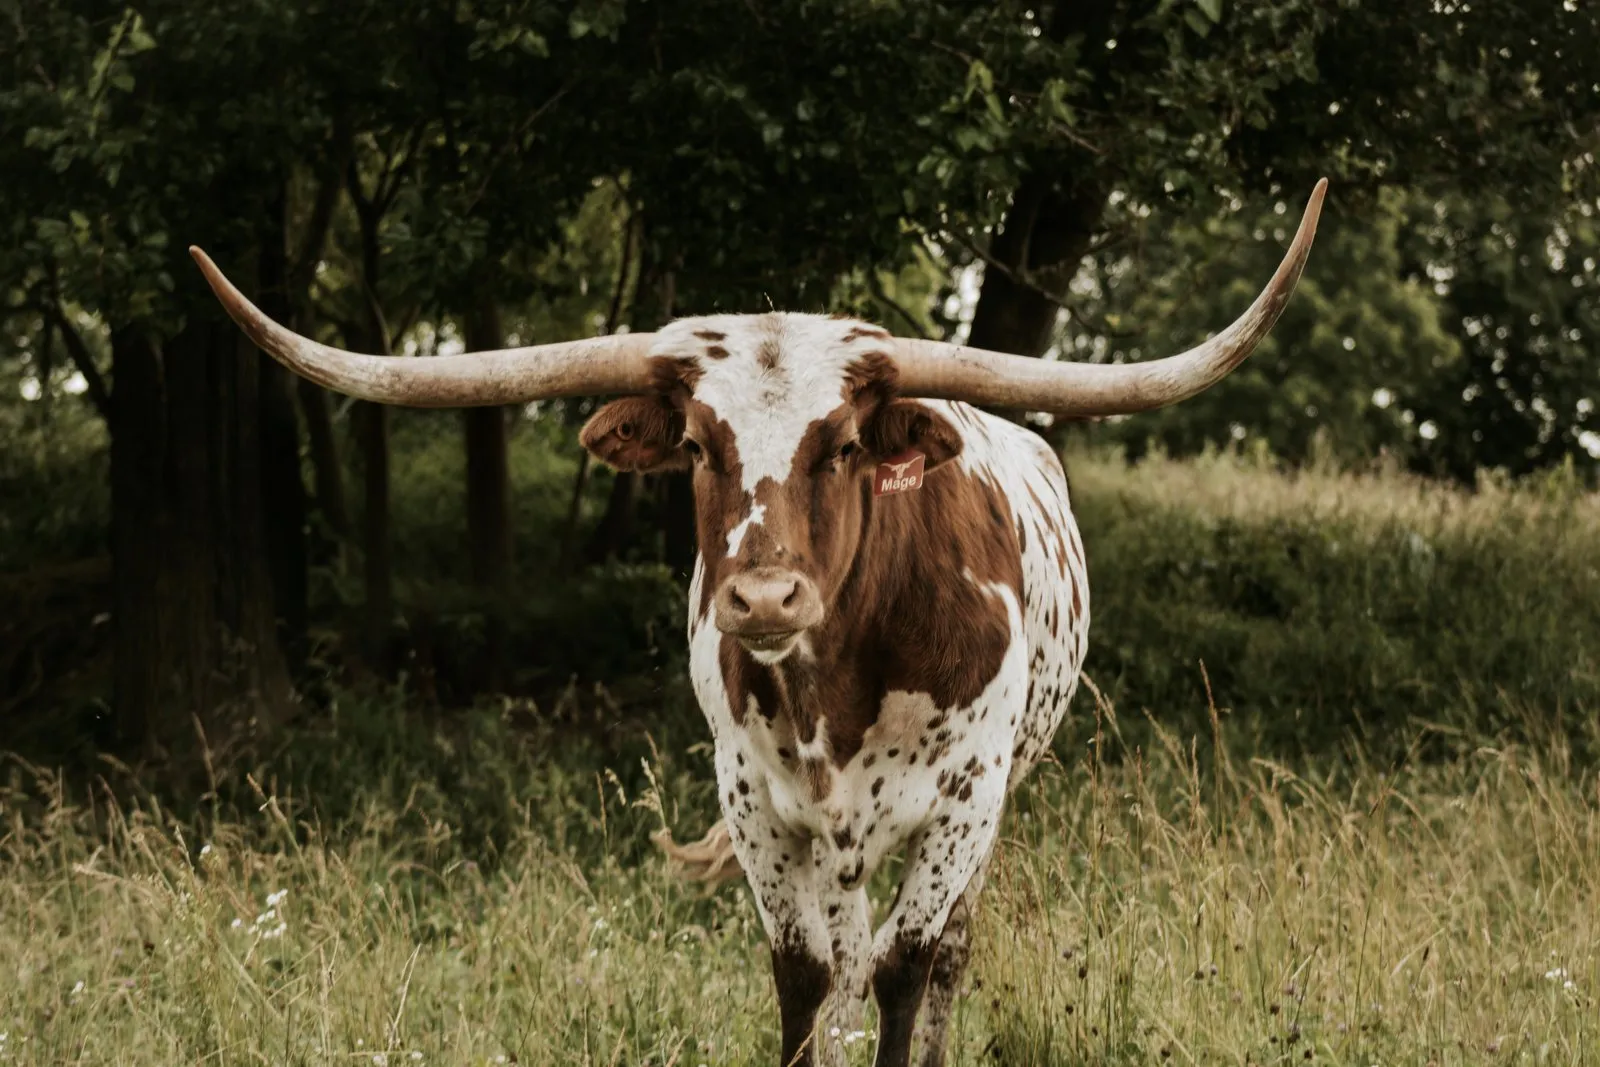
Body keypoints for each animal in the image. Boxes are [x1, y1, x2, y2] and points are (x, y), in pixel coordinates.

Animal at [189, 178, 1325, 1067]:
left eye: (845, 444)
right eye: (696, 444)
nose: (766, 599)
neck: (840, 688)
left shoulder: (966, 798)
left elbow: (909, 967)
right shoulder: (755, 801)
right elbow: (805, 973)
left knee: (941, 952)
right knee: (847, 950)